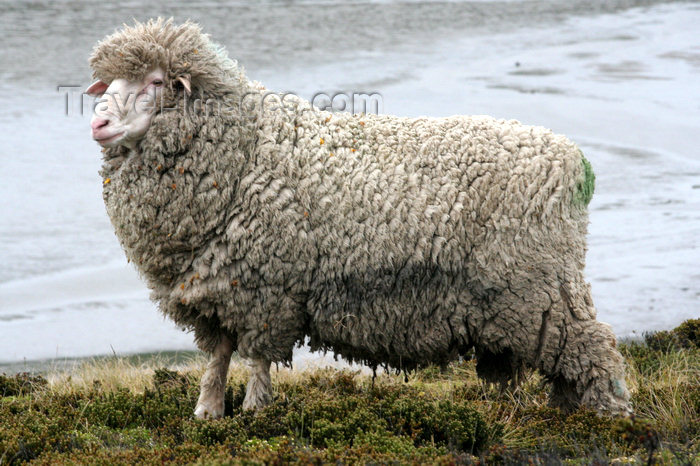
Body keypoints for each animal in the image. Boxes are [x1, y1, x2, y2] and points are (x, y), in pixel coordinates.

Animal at [86, 18, 628, 418]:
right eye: (109, 84)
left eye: (155, 83)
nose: (98, 122)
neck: (242, 153)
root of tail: (574, 161)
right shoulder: (216, 288)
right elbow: (218, 357)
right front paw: (207, 412)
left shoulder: (268, 289)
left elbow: (257, 358)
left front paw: (256, 413)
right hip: (526, 295)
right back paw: (562, 410)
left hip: (539, 288)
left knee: (595, 347)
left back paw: (607, 418)